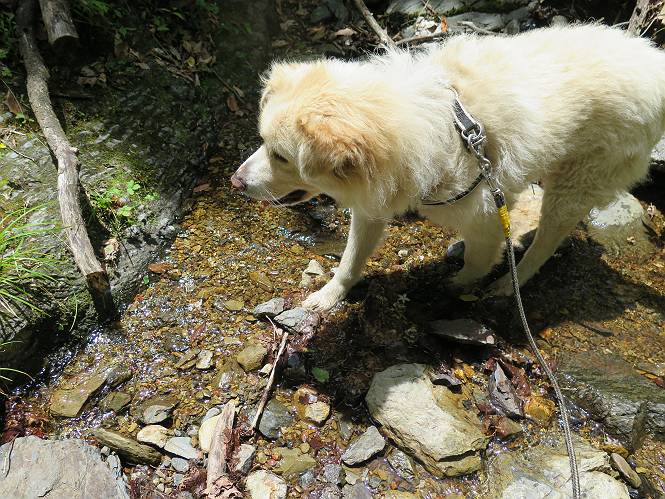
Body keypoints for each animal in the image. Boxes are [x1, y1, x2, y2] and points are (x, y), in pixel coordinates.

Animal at [231, 24, 665, 311]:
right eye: (263, 141)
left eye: (282, 157)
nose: (235, 182)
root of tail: (653, 61)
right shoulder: (374, 202)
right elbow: (350, 259)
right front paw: (329, 295)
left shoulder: (488, 213)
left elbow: (477, 261)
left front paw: (456, 285)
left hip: (574, 185)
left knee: (546, 244)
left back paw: (509, 284)